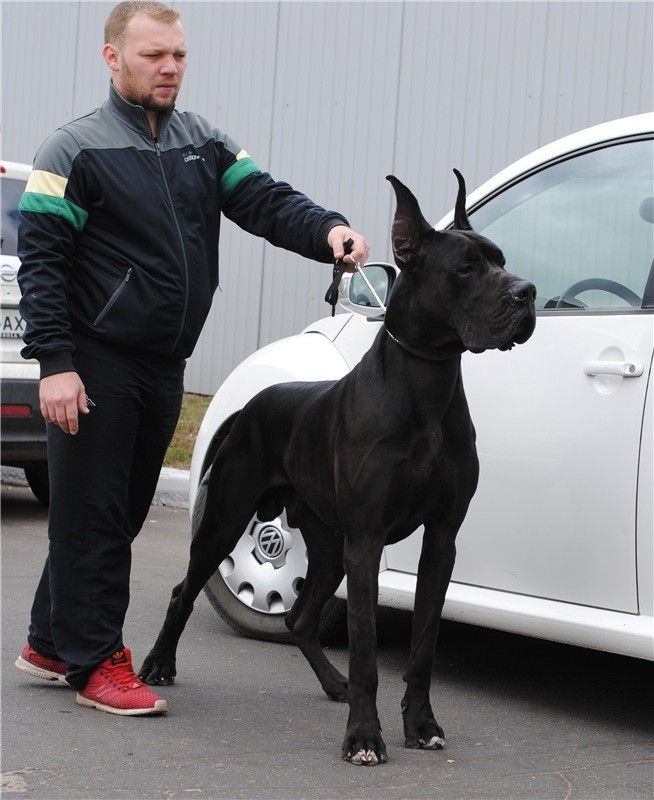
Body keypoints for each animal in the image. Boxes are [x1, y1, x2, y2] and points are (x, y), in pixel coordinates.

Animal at [140, 172, 536, 766]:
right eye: (466, 268)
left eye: (501, 260)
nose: (527, 292)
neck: (427, 383)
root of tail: (251, 406)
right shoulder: (367, 539)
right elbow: (367, 647)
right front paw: (365, 736)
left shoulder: (441, 537)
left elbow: (423, 645)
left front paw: (420, 724)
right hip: (228, 518)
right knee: (183, 591)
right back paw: (159, 665)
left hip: (327, 547)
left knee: (300, 619)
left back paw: (333, 683)